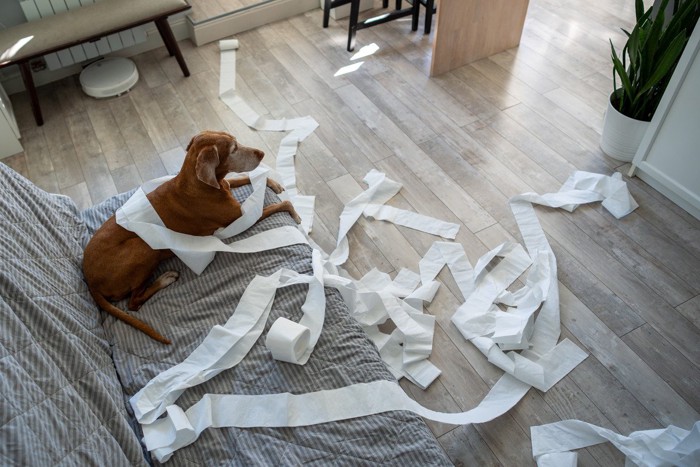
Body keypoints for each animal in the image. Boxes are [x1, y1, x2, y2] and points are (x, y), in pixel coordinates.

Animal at [82, 131, 300, 344]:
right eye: (233, 149)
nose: (261, 154)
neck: (197, 183)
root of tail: (89, 279)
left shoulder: (228, 185)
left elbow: (246, 178)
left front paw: (273, 183)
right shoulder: (241, 218)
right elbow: (278, 204)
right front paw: (295, 213)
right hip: (142, 246)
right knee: (133, 302)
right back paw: (165, 279)